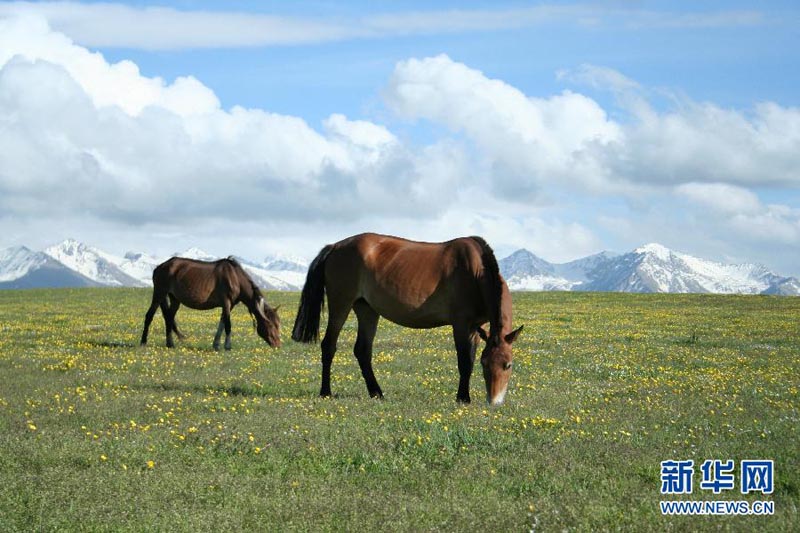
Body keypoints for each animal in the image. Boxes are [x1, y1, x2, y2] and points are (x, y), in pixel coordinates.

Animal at [141, 256, 282, 350]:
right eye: (270, 325)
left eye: (278, 324)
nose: (278, 344)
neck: (236, 278)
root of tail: (158, 268)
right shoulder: (226, 302)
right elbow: (228, 325)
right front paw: (227, 346)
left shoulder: (229, 305)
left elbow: (222, 323)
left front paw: (216, 344)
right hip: (159, 293)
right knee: (149, 316)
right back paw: (143, 342)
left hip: (175, 298)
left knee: (169, 318)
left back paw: (170, 344)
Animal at [290, 232, 520, 404]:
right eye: (485, 364)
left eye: (508, 365)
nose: (494, 401)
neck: (475, 273)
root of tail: (334, 246)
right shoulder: (461, 324)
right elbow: (464, 361)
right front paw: (463, 398)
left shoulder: (475, 327)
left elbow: (469, 360)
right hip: (341, 303)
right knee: (329, 345)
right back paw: (326, 392)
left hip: (367, 309)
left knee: (362, 351)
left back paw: (377, 393)